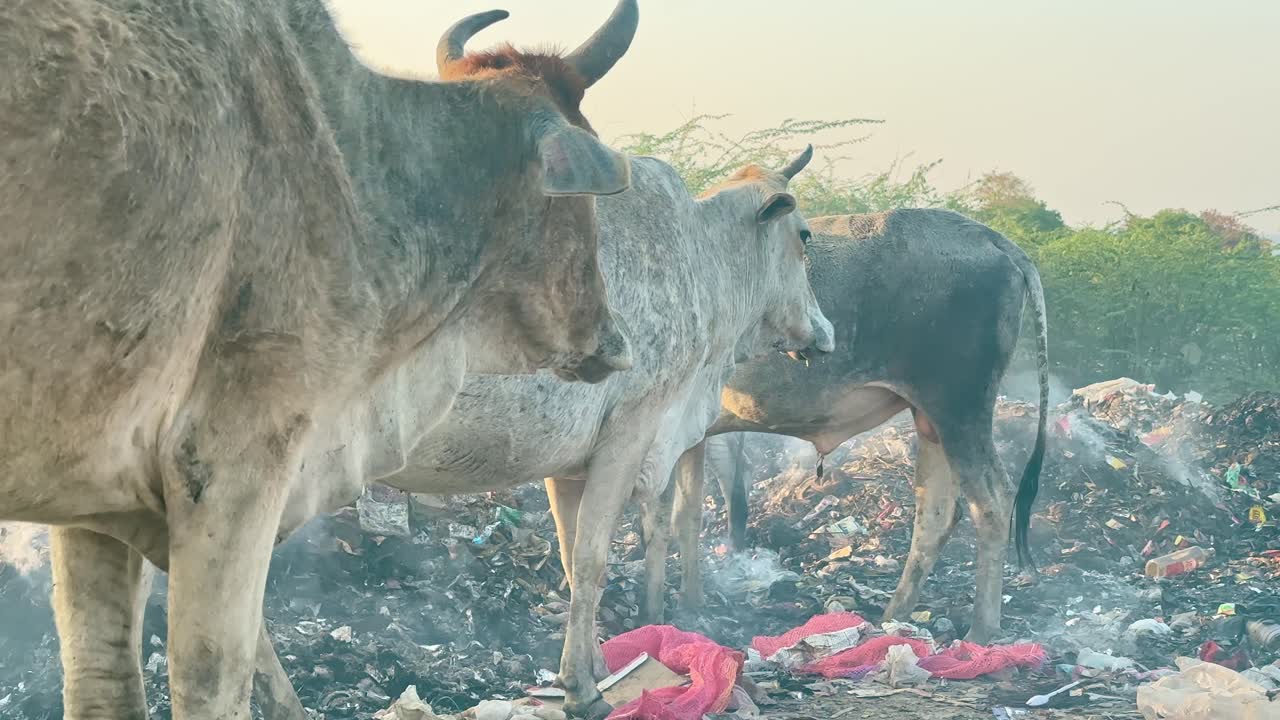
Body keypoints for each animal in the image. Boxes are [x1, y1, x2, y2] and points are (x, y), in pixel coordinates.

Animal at [0, 1, 640, 718]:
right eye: (584, 202)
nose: (615, 342)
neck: (353, 173)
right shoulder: (235, 466)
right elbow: (213, 674)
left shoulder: (94, 501)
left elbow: (98, 676)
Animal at [639, 209, 1049, 645]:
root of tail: (990, 237)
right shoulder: (688, 437)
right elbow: (686, 516)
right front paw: (689, 607)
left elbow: (655, 523)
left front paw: (649, 616)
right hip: (932, 419)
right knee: (936, 513)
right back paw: (892, 616)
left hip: (959, 408)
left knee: (992, 502)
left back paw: (981, 631)